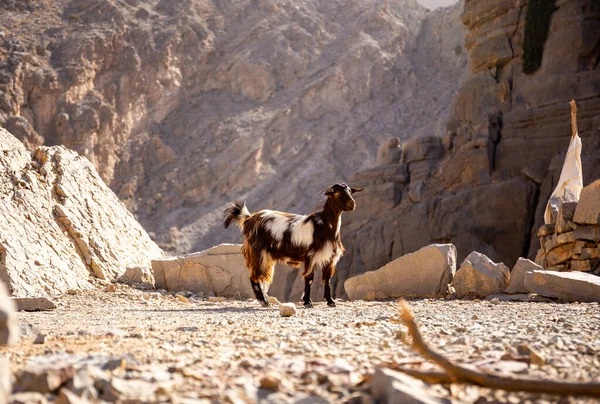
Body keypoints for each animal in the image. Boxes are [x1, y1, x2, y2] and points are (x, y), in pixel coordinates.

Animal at [223, 185, 364, 308]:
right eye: (337, 192)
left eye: (350, 191)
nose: (352, 204)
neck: (324, 225)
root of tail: (249, 219)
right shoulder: (311, 257)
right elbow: (309, 279)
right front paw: (308, 302)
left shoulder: (329, 258)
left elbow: (327, 280)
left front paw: (330, 302)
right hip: (259, 253)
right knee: (254, 277)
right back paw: (264, 302)